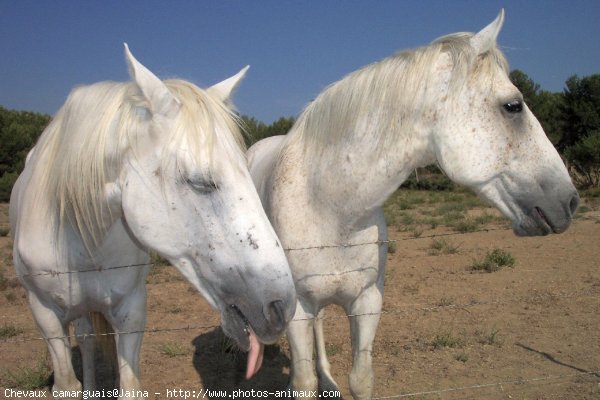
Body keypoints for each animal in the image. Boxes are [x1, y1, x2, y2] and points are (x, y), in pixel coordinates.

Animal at [10, 45, 296, 398]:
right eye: (199, 182)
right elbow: (66, 384)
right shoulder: (45, 315)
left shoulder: (131, 311)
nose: (281, 307)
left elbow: (129, 385)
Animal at [247, 10, 576, 398]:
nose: (570, 201)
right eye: (513, 106)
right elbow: (302, 382)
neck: (330, 209)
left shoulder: (367, 303)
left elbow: (360, 378)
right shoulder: (298, 308)